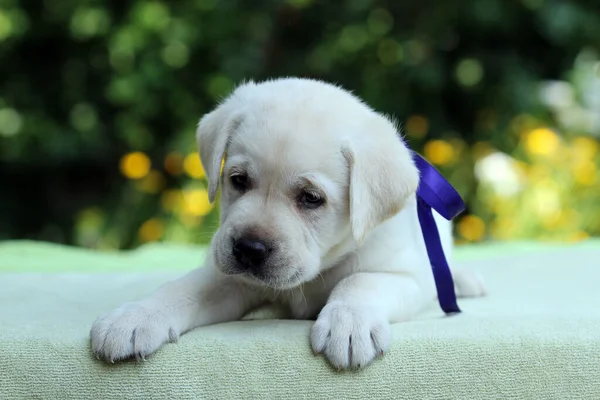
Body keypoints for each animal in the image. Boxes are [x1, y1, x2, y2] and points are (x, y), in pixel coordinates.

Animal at [89, 79, 486, 372]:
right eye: (238, 180)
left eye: (311, 198)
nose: (248, 250)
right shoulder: (228, 278)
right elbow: (183, 289)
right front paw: (134, 318)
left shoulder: (407, 277)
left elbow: (360, 281)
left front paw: (348, 325)